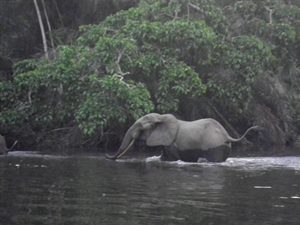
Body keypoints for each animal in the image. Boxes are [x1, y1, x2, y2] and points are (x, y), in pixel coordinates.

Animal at [106, 113, 260, 163]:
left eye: (140, 127)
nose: (108, 155)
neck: (161, 117)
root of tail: (227, 136)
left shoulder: (171, 143)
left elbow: (172, 157)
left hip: (214, 145)